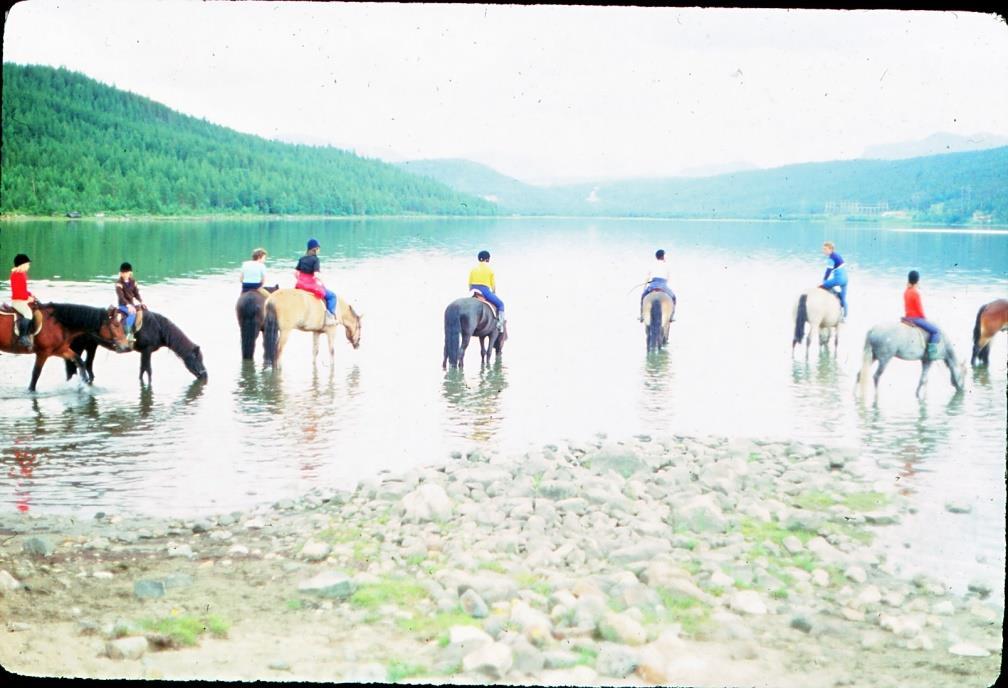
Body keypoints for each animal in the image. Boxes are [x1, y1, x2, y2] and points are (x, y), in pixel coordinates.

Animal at [0, 302, 130, 392]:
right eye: (116, 325)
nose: (126, 346)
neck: (58, 323)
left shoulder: (61, 350)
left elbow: (79, 361)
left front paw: (83, 383)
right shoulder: (43, 353)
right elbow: (35, 374)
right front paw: (31, 391)